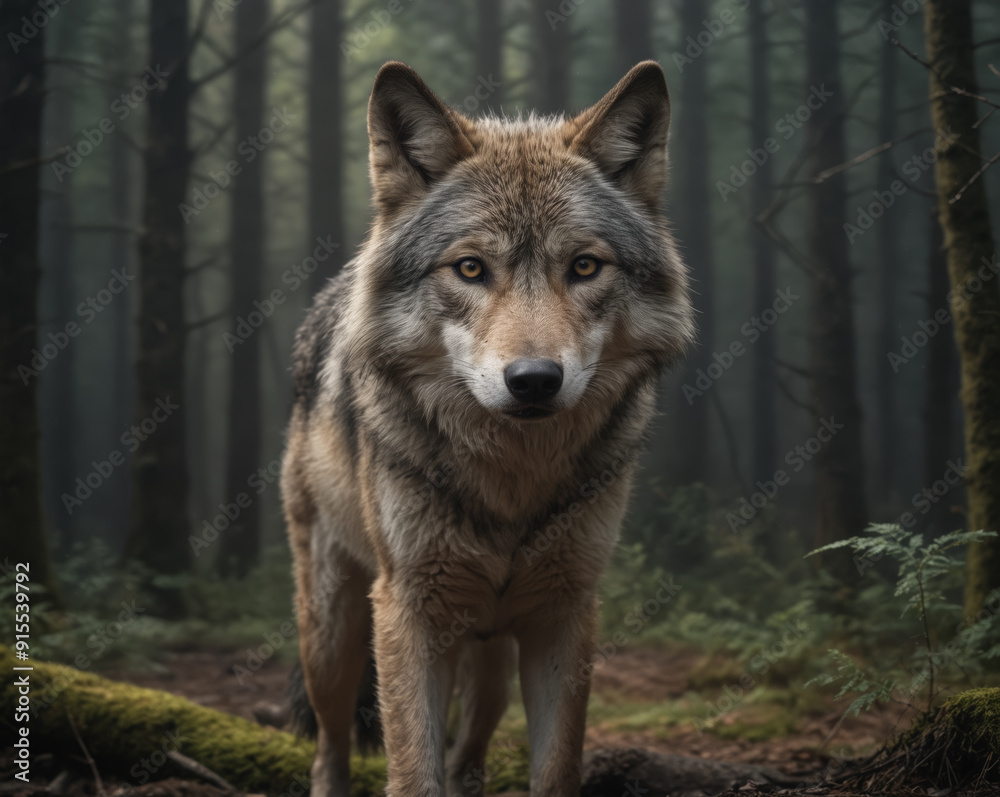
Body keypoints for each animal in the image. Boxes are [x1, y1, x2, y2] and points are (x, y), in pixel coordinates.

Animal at [281, 59, 694, 797]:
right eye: (471, 268)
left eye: (584, 266)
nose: (533, 380)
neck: (511, 483)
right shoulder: (409, 610)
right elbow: (414, 773)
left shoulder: (566, 611)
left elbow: (556, 769)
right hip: (333, 630)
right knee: (330, 741)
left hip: (493, 657)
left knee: (469, 747)